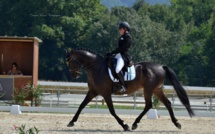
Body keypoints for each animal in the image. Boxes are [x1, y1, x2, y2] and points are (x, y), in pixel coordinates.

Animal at [64, 48, 194, 131]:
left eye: (70, 62)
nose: (74, 76)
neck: (96, 68)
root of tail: (161, 66)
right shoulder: (92, 92)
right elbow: (81, 105)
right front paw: (71, 122)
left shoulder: (106, 93)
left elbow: (112, 111)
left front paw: (124, 125)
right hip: (157, 90)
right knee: (167, 103)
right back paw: (177, 123)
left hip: (148, 89)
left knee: (149, 105)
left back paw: (134, 124)